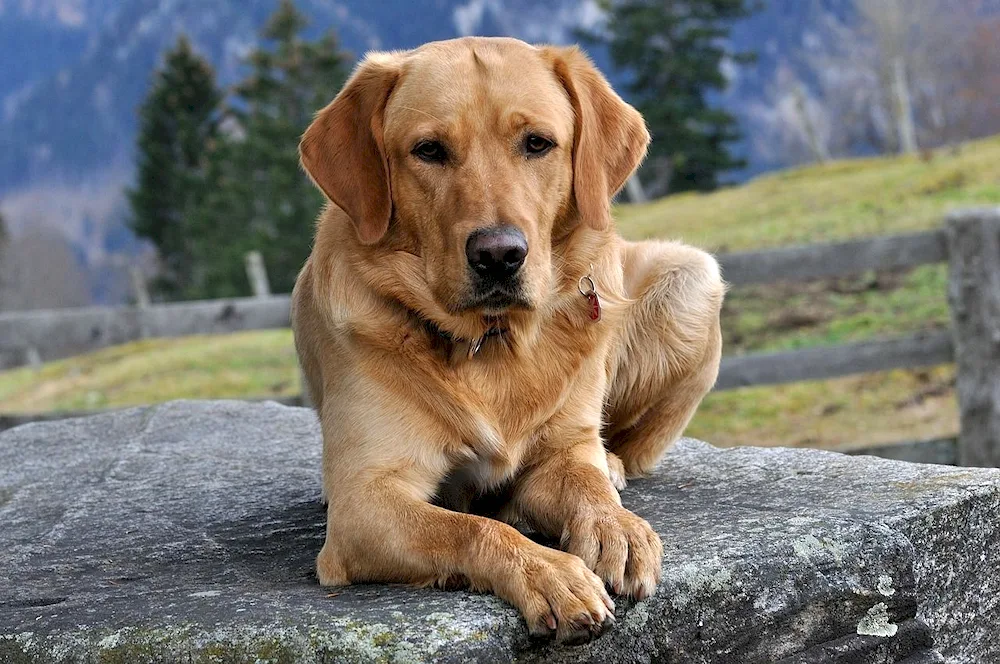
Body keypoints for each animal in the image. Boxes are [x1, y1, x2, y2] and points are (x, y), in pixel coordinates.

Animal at [292, 35, 724, 644]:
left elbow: (584, 485)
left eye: (537, 143)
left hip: (693, 277)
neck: (491, 343)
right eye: (429, 150)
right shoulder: (363, 502)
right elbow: (471, 529)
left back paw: (613, 467)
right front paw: (547, 571)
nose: (499, 254)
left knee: (628, 447)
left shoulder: (561, 449)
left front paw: (615, 525)